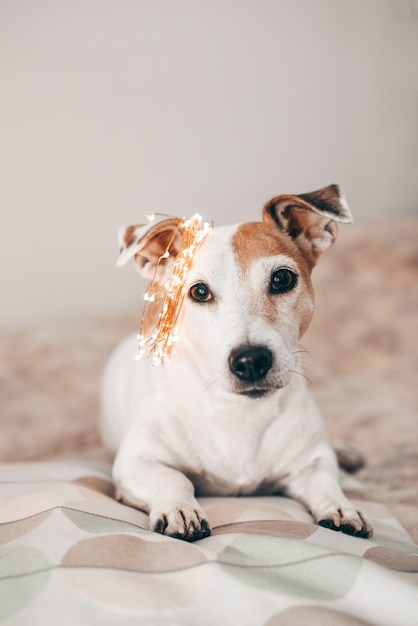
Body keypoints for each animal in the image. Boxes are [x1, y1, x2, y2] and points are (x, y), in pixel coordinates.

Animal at [100, 183, 372, 540]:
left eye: (282, 279)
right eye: (199, 292)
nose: (251, 360)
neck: (240, 412)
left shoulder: (312, 461)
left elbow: (325, 480)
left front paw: (342, 507)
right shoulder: (136, 460)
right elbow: (172, 477)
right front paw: (180, 508)